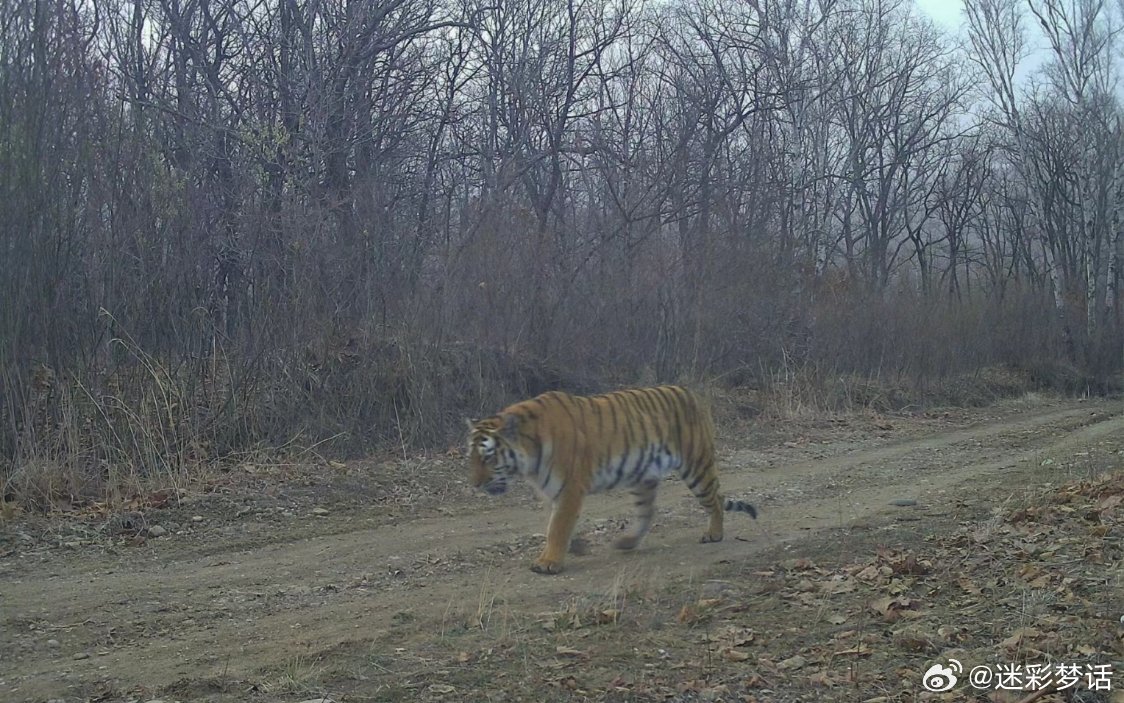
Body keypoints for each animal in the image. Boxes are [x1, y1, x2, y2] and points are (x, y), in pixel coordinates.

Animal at [465, 386, 755, 573]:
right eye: (471, 457)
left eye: (487, 457)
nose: (475, 484)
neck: (529, 457)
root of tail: (693, 394)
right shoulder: (551, 491)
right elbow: (554, 524)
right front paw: (574, 547)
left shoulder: (570, 488)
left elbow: (558, 526)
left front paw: (548, 563)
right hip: (643, 476)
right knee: (648, 512)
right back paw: (627, 542)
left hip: (696, 466)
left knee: (715, 499)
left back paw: (714, 533)